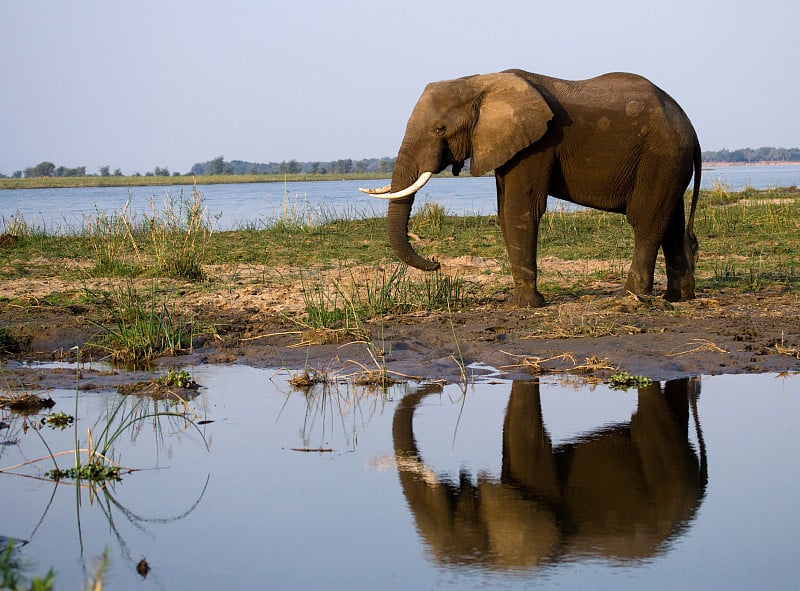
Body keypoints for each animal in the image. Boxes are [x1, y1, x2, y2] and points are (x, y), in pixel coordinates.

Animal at [360, 70, 700, 306]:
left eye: (440, 129)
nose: (437, 262)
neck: (478, 82)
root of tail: (692, 129)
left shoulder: (537, 144)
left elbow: (520, 208)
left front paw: (526, 305)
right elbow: (505, 208)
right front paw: (523, 301)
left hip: (660, 156)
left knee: (646, 219)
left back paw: (630, 297)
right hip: (670, 162)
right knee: (671, 221)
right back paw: (677, 297)